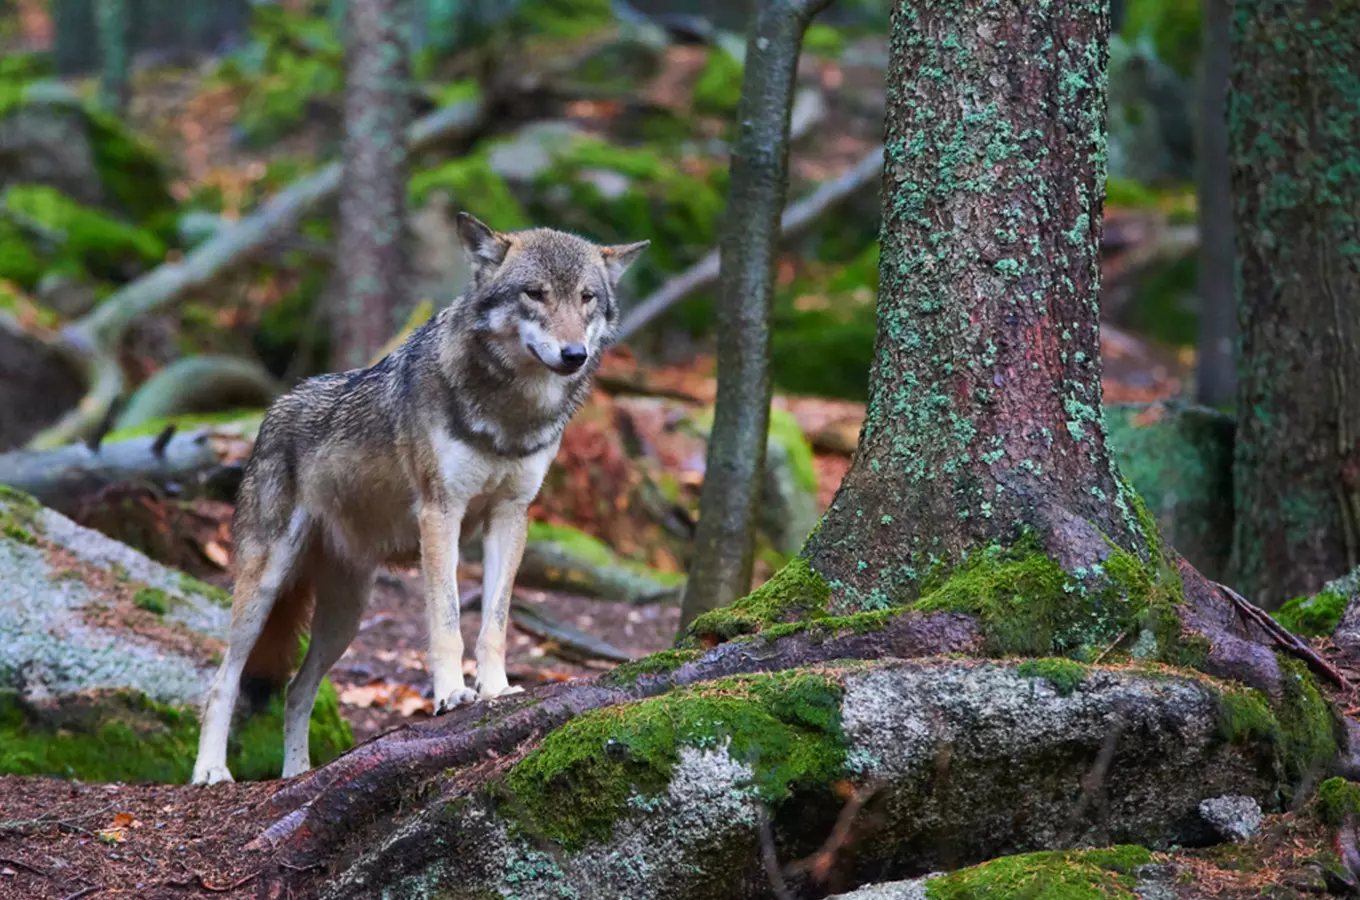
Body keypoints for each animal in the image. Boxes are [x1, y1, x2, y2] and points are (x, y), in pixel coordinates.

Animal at [190, 214, 647, 788]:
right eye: (535, 293)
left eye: (587, 297)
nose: (573, 355)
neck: (511, 413)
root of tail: (273, 410)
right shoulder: (440, 512)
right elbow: (447, 619)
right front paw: (452, 694)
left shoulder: (511, 515)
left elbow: (495, 623)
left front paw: (496, 689)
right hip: (265, 586)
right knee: (221, 681)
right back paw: (210, 771)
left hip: (346, 615)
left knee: (297, 689)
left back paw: (296, 775)